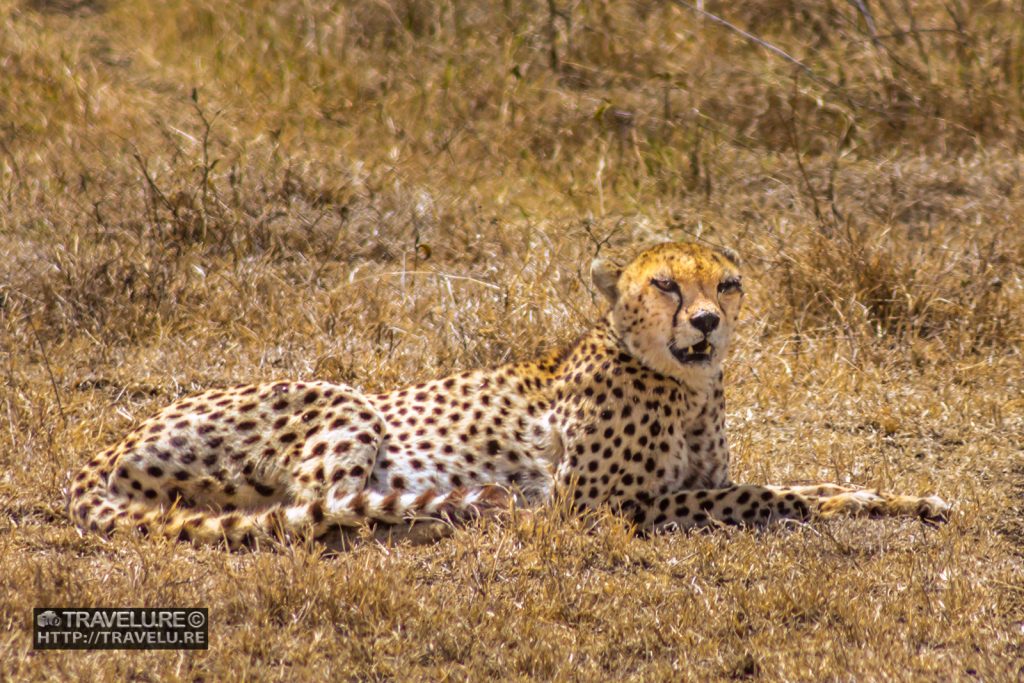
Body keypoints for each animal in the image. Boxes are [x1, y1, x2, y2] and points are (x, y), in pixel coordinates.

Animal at [66, 242, 950, 548]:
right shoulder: (598, 505)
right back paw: (441, 512)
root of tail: (100, 450)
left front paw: (910, 501)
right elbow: (762, 496)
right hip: (339, 397)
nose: (705, 320)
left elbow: (814, 481)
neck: (690, 385)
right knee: (313, 508)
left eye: (726, 284)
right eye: (666, 282)